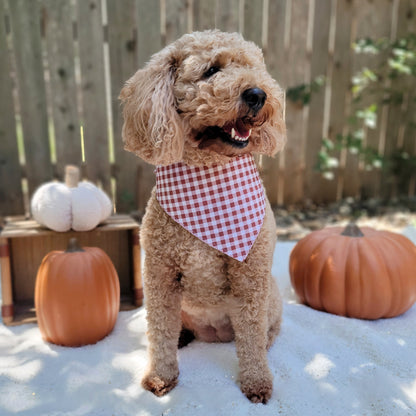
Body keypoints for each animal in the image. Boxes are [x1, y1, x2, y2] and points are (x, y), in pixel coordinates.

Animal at [120, 29, 286, 404]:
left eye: (255, 68)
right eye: (212, 70)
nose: (258, 94)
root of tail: (214, 334)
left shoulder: (251, 278)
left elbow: (252, 338)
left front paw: (257, 381)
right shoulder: (160, 276)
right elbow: (160, 334)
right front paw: (161, 376)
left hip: (271, 293)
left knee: (266, 332)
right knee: (177, 329)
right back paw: (184, 336)